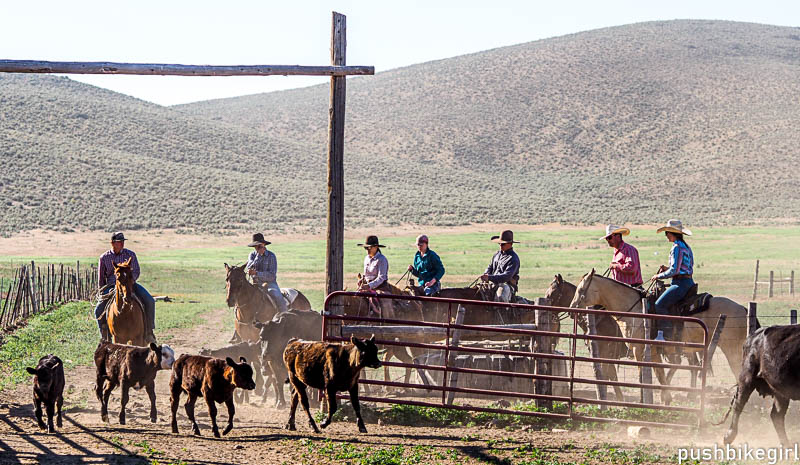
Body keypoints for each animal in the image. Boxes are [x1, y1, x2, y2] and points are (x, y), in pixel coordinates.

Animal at [568, 268, 752, 402]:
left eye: (581, 289)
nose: (572, 309)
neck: (634, 310)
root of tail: (743, 309)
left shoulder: (638, 350)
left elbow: (642, 375)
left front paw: (644, 400)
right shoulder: (654, 352)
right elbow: (659, 373)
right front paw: (665, 398)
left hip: (731, 349)